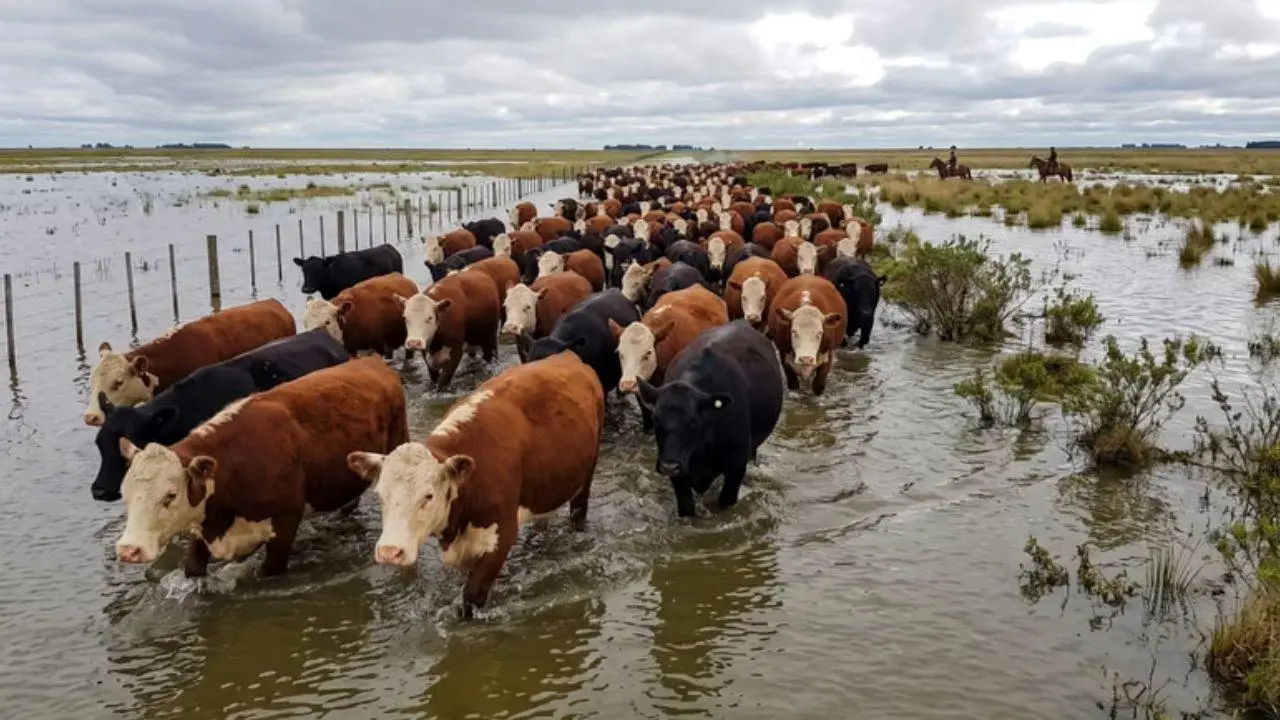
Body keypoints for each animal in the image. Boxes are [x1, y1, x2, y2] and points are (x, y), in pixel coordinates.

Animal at [114, 356, 409, 578]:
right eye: (125, 495)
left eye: (170, 495)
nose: (128, 550)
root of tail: (371, 361)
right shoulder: (205, 527)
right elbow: (193, 567)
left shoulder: (284, 526)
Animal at [347, 350, 603, 617]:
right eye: (380, 495)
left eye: (428, 495)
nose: (390, 552)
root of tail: (567, 356)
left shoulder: (502, 534)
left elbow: (472, 594)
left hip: (588, 471)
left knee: (579, 508)